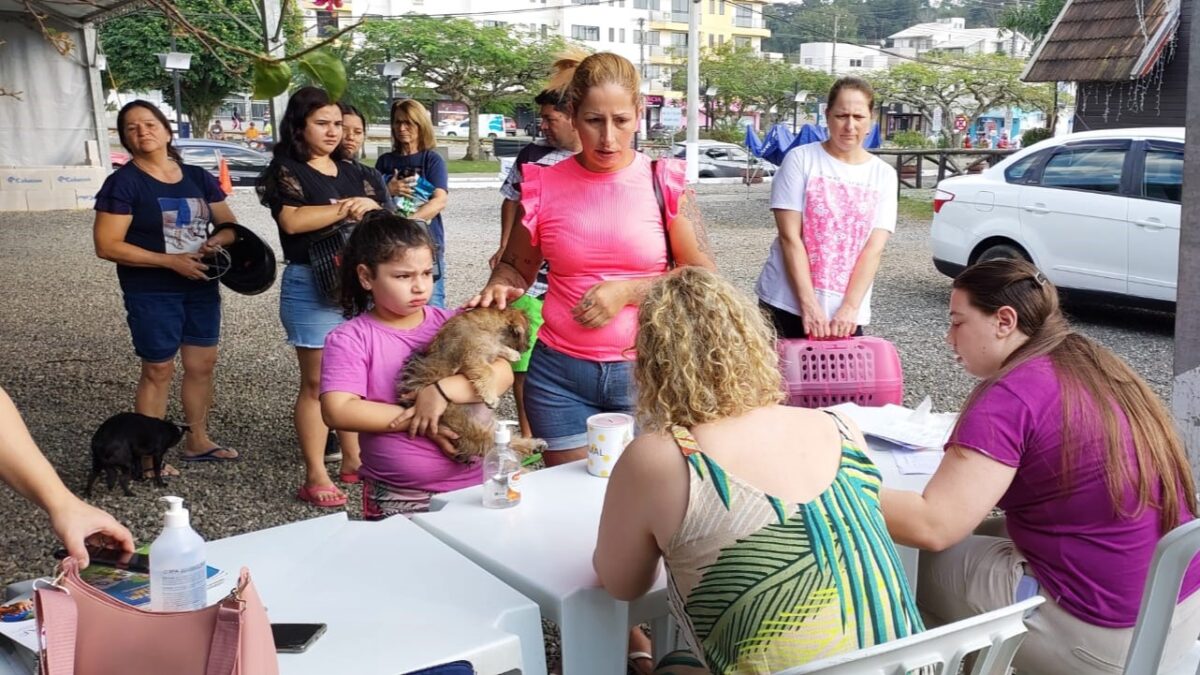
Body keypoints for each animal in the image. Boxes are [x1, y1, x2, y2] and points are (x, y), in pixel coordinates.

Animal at [400, 306, 549, 458]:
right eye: (529, 332)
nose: (528, 347)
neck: (486, 327)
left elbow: (497, 348)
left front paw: (512, 354)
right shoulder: (472, 357)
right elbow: (488, 371)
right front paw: (491, 397)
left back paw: (535, 445)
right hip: (469, 428)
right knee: (494, 444)